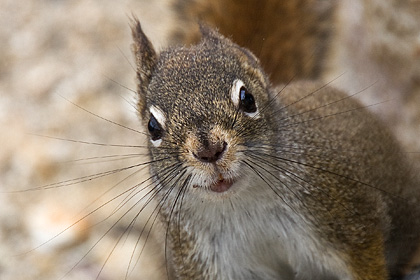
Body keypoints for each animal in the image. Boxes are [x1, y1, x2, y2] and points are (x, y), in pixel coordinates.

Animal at [129, 1, 420, 278]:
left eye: (247, 99)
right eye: (152, 127)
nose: (209, 151)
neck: (243, 202)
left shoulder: (346, 219)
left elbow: (367, 262)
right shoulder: (201, 258)